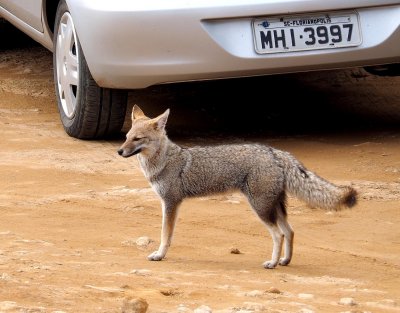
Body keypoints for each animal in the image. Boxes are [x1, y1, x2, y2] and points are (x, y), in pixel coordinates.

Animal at [117, 105, 358, 268]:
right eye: (126, 137)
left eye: (137, 139)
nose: (119, 151)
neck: (164, 160)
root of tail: (274, 152)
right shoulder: (168, 203)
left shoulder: (171, 203)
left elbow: (165, 234)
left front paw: (159, 255)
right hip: (274, 207)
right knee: (289, 231)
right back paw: (284, 260)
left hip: (261, 208)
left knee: (278, 234)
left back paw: (272, 263)